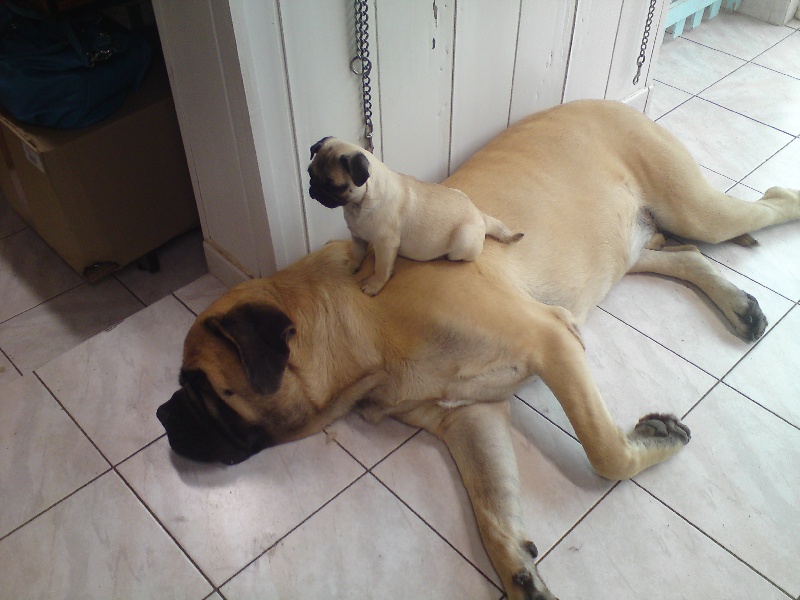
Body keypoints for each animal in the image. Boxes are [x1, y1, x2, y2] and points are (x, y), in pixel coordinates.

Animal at [308, 136, 523, 295]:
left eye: (334, 186)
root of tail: (479, 214)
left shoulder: (386, 245)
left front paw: (374, 285)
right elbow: (357, 254)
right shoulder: (358, 237)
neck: (358, 204)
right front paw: (352, 266)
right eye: (309, 172)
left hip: (463, 242)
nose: (313, 189)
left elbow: (381, 268)